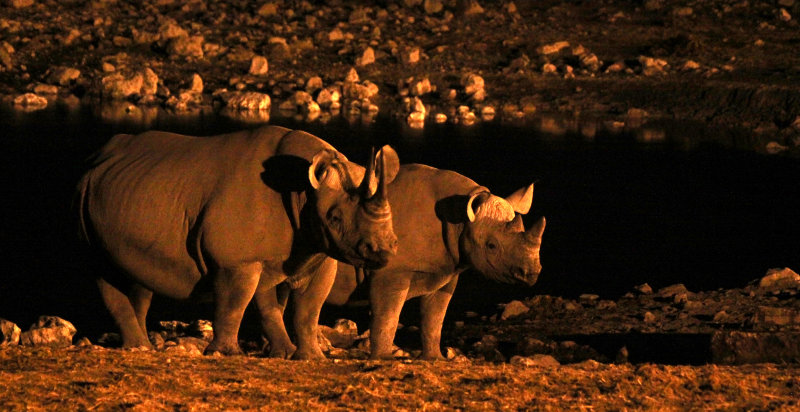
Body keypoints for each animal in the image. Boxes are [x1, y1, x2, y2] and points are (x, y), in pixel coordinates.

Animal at [76, 125, 400, 358]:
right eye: (334, 217)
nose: (384, 250)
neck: (303, 192)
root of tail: (94, 158)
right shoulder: (238, 260)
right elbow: (236, 302)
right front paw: (225, 354)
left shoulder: (310, 252)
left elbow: (303, 308)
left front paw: (305, 357)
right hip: (84, 195)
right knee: (101, 266)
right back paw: (138, 347)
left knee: (136, 276)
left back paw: (141, 345)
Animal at [260, 163, 544, 358]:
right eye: (492, 246)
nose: (532, 273)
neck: (460, 221)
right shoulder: (392, 271)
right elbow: (388, 315)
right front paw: (384, 358)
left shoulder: (446, 271)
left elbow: (434, 318)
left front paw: (435, 359)